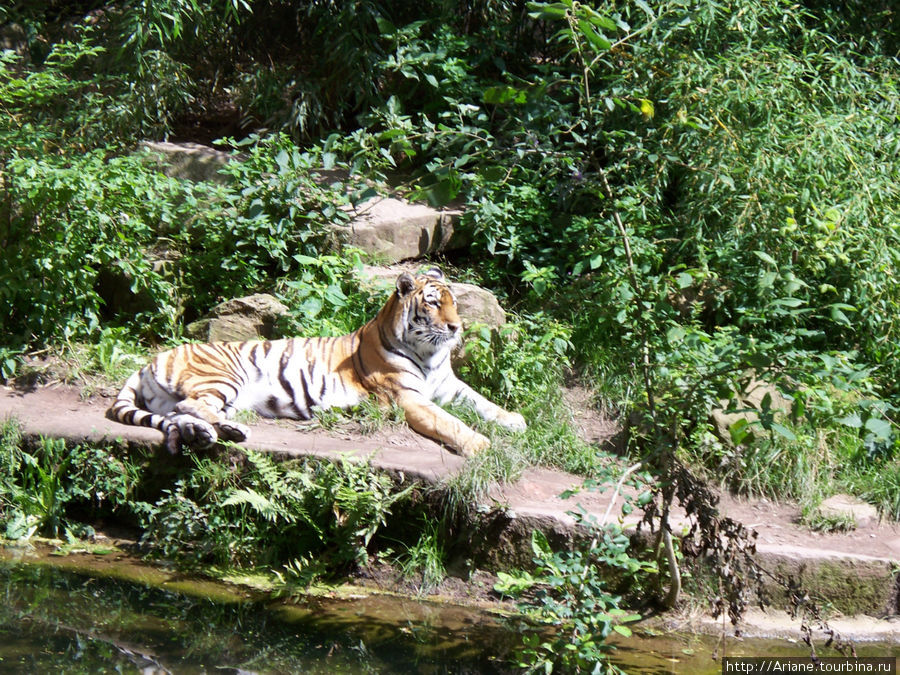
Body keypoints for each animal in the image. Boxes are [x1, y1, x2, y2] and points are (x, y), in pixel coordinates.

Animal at [106, 270, 528, 460]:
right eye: (434, 303)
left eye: (454, 303)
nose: (457, 328)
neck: (430, 353)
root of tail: (148, 360)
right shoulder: (409, 397)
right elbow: (450, 422)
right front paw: (481, 444)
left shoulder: (448, 386)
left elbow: (482, 402)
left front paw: (515, 421)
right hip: (223, 376)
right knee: (189, 406)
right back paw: (225, 430)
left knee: (180, 415)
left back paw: (218, 432)